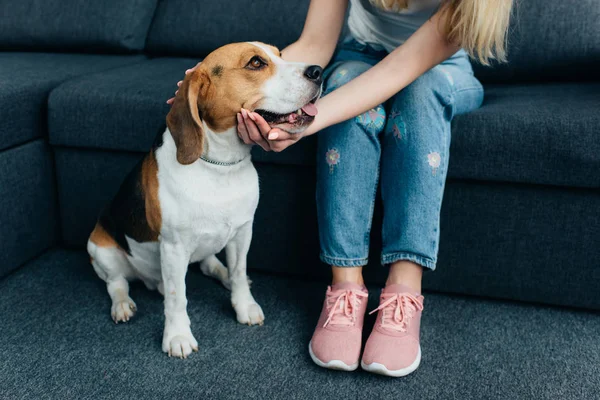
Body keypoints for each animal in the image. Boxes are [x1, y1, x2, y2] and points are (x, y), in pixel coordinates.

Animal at [86, 42, 322, 358]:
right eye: (256, 63)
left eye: (280, 55)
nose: (318, 71)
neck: (220, 166)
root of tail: (150, 281)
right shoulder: (173, 249)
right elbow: (177, 298)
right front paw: (177, 336)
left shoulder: (243, 232)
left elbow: (238, 272)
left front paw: (244, 305)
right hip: (100, 248)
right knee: (117, 283)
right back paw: (123, 305)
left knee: (210, 264)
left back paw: (221, 273)